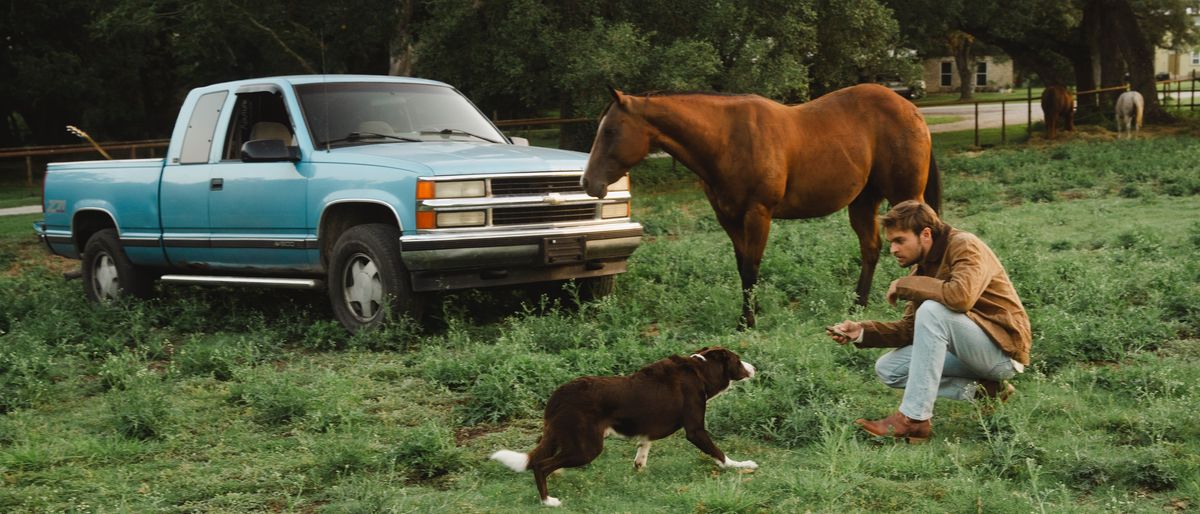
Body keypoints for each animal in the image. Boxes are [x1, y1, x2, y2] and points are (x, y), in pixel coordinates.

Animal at [489, 345, 753, 506]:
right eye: (739, 360)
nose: (754, 367)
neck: (700, 370)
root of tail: (558, 396)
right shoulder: (695, 430)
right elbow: (720, 454)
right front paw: (742, 465)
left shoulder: (647, 431)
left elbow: (643, 447)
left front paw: (640, 468)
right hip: (587, 448)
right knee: (541, 466)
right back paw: (548, 501)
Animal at [580, 82, 936, 326]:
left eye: (610, 131)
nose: (587, 183)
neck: (727, 138)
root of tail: (910, 109)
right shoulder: (728, 217)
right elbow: (742, 266)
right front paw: (752, 310)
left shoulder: (757, 214)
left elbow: (752, 265)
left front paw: (746, 321)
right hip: (862, 202)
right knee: (870, 249)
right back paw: (857, 305)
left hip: (904, 196)